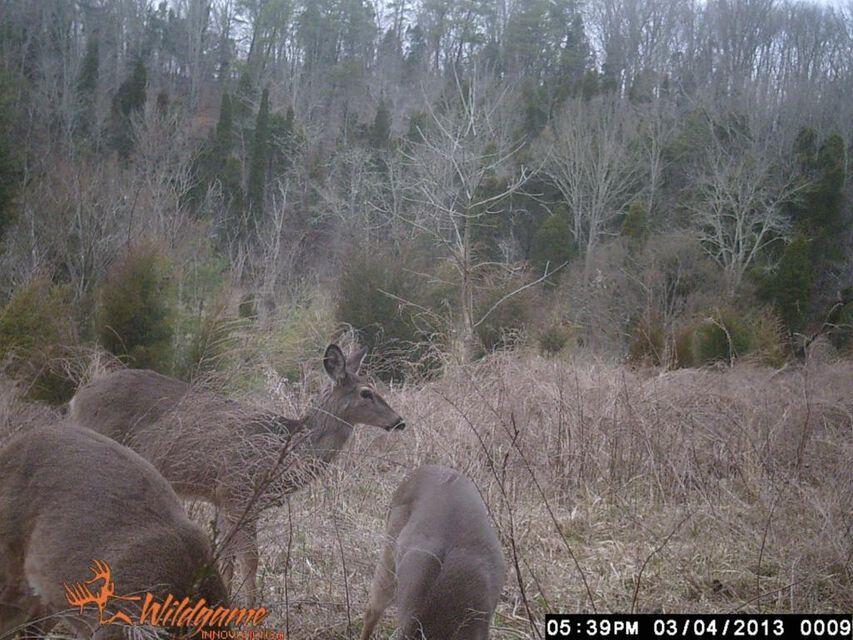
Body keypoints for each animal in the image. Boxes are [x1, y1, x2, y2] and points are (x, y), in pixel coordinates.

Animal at [69, 343, 406, 605]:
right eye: (366, 393)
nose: (399, 421)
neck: (283, 450)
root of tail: (76, 400)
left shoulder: (222, 498)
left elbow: (225, 557)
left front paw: (226, 599)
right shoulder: (239, 491)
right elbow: (250, 559)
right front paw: (252, 608)